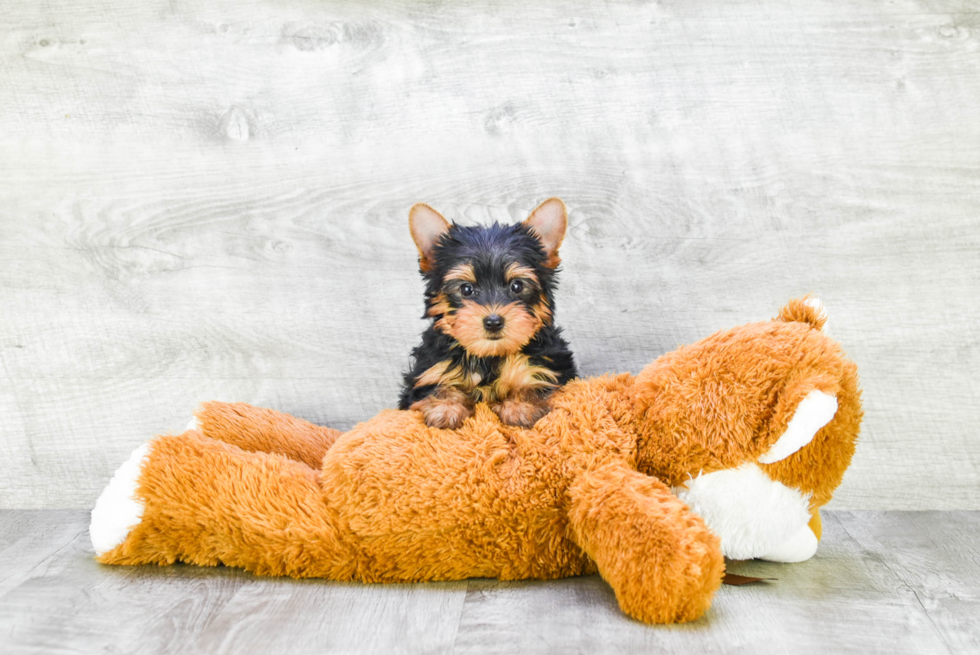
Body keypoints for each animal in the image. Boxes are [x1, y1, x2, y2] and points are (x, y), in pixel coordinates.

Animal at [398, 196, 580, 430]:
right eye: (466, 289)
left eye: (517, 286)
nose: (493, 322)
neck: (490, 357)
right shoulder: (429, 370)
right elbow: (439, 386)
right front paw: (445, 408)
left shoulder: (549, 367)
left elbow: (533, 383)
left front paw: (521, 407)